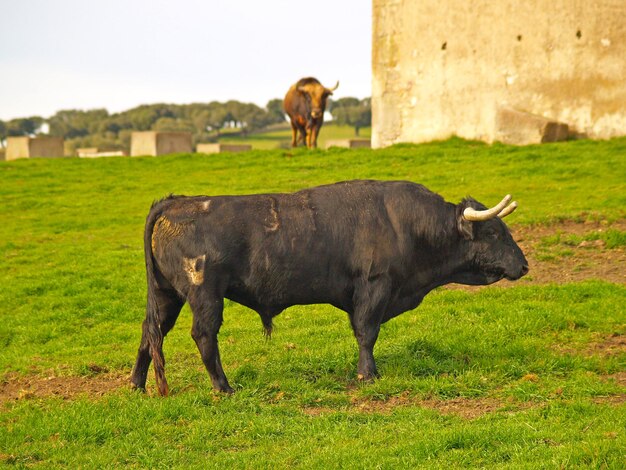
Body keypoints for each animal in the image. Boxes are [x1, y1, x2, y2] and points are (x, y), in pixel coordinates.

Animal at [132, 179, 528, 392]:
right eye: (494, 232)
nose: (523, 265)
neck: (405, 224)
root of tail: (176, 203)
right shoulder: (374, 288)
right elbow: (367, 333)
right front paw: (367, 374)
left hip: (167, 296)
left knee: (151, 332)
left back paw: (137, 384)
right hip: (205, 295)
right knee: (203, 335)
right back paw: (224, 386)